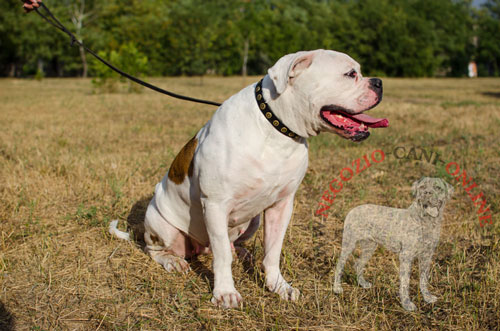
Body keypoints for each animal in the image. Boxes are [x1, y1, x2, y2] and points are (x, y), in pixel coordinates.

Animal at [111, 49, 388, 308]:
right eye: (350, 74)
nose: (379, 82)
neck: (277, 128)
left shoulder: (282, 205)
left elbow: (272, 251)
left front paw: (278, 286)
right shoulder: (215, 204)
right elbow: (221, 255)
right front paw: (225, 293)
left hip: (252, 220)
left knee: (229, 243)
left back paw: (241, 253)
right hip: (163, 226)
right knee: (157, 249)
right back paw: (173, 261)